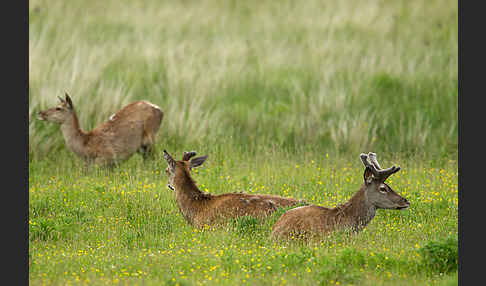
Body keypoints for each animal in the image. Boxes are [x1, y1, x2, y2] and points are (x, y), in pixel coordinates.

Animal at [36, 92, 164, 166]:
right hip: (142, 146)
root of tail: (159, 109)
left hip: (150, 136)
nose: (40, 113)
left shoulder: (107, 158)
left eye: (58, 108)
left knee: (154, 158)